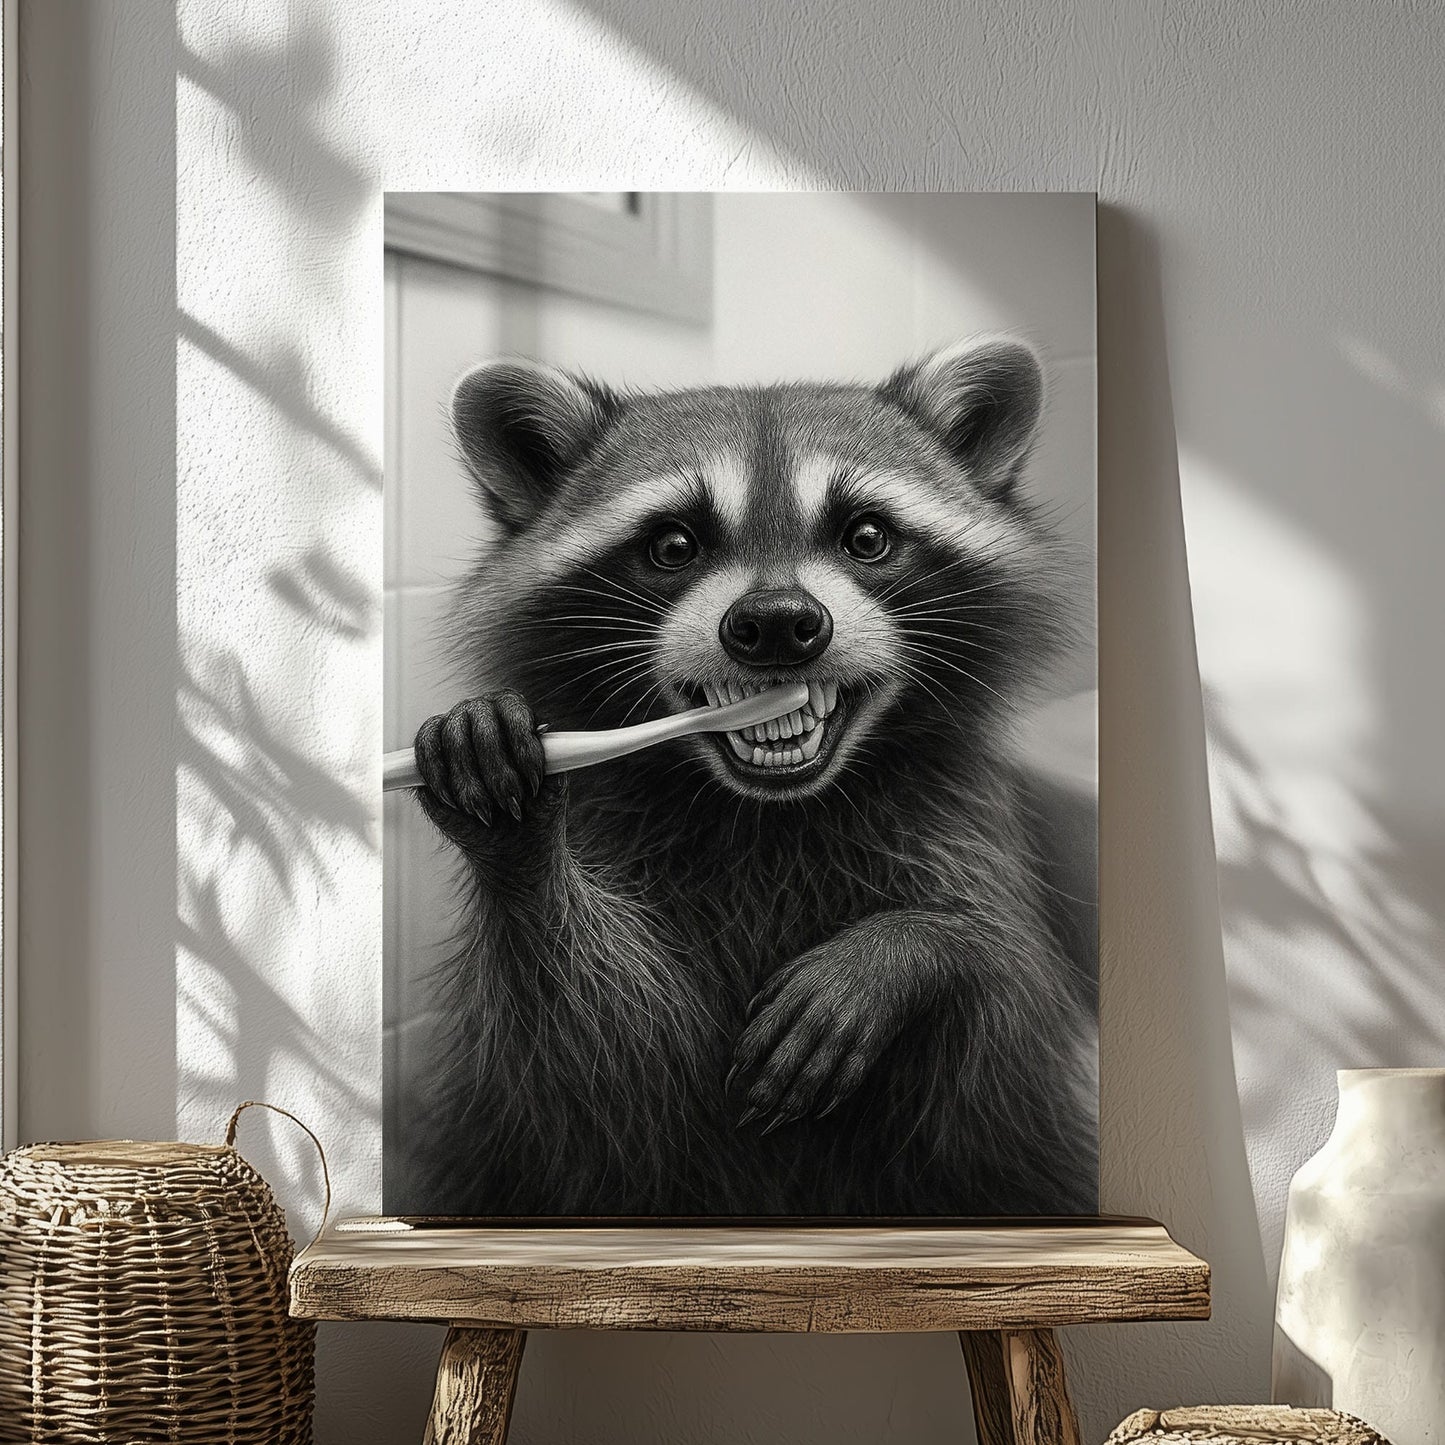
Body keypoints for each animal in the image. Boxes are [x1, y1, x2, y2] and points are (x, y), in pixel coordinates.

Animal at [399, 336, 1098, 1218]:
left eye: (866, 536)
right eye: (672, 545)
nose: (775, 623)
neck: (770, 811)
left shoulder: (963, 825)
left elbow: (1006, 1028)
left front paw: (917, 947)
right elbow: (604, 1065)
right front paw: (518, 848)